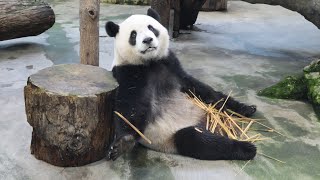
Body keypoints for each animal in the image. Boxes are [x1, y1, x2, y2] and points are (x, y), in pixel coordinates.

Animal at [106, 8, 256, 161]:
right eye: (133, 35)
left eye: (151, 28)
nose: (147, 40)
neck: (150, 62)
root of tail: (206, 124)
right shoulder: (130, 73)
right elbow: (130, 107)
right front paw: (123, 143)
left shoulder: (171, 65)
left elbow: (198, 88)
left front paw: (228, 107)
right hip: (172, 136)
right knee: (199, 141)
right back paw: (247, 148)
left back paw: (246, 109)